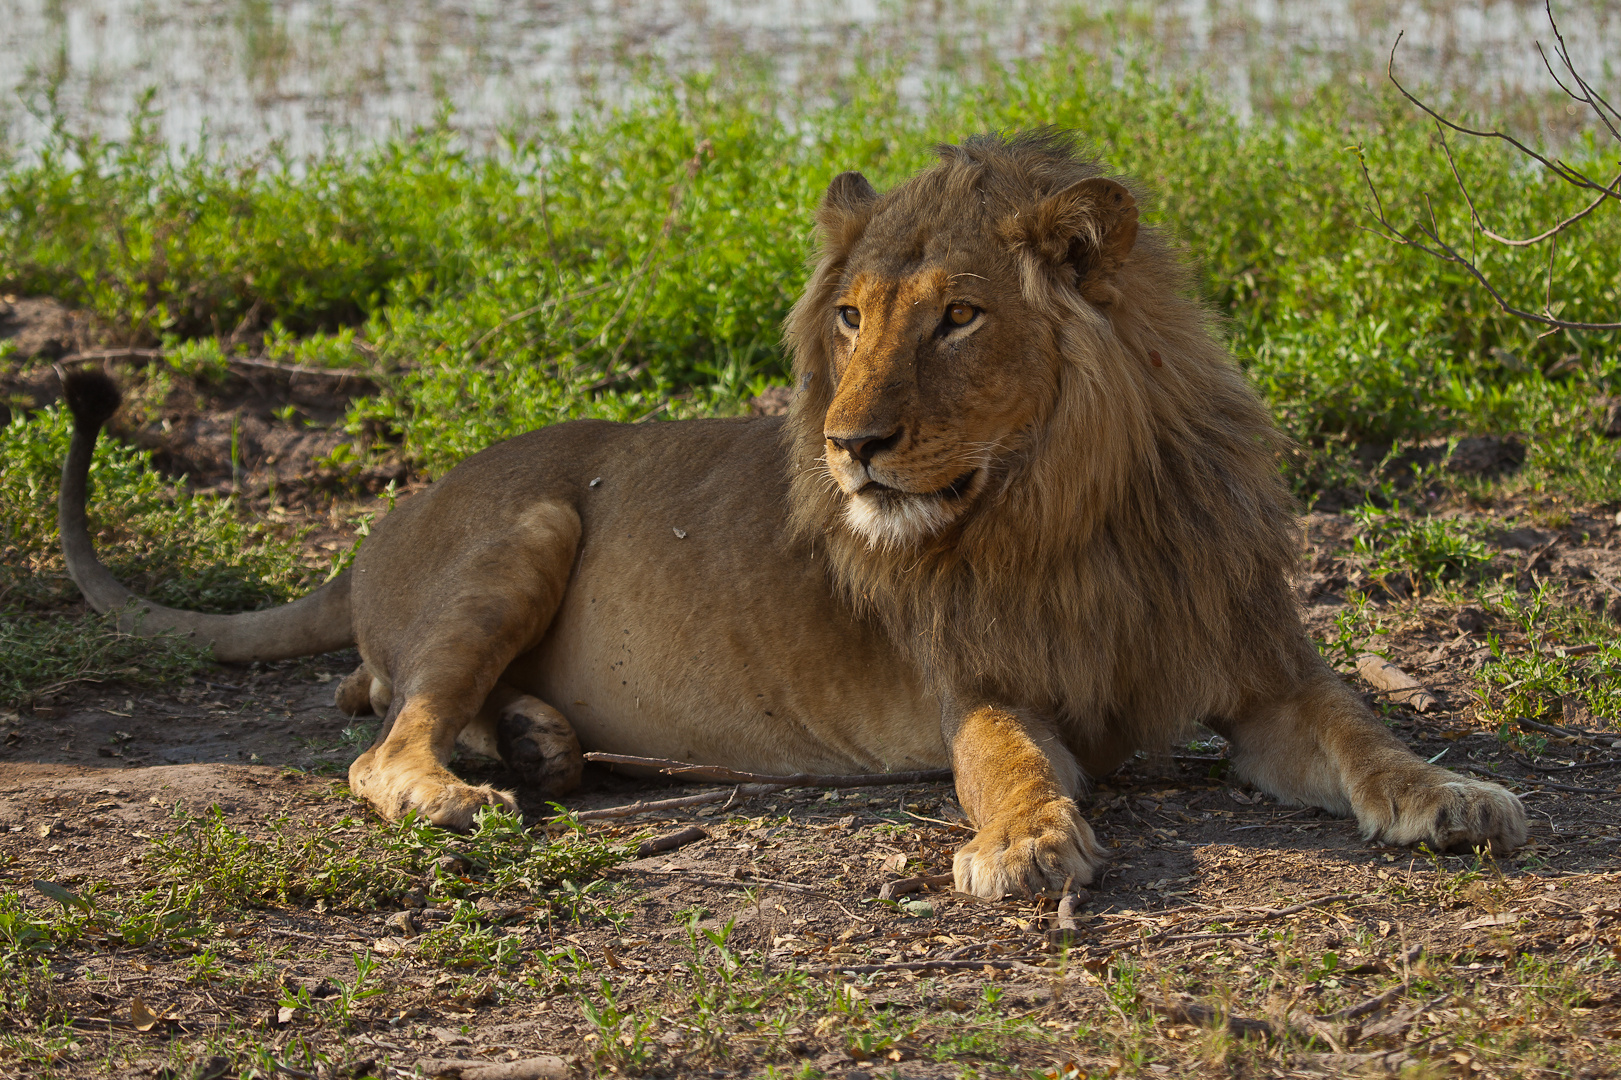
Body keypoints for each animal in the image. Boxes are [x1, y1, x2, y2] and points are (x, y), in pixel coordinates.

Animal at [53, 130, 1517, 895]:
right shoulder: (975, 682)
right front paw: (1028, 844)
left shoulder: (1259, 671)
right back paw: (464, 790)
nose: (848, 446)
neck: (1069, 509)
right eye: (852, 318)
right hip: (530, 527)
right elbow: (1012, 762)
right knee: (383, 736)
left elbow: (1362, 732)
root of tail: (375, 528)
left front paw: (1451, 794)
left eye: (959, 317)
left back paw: (539, 742)